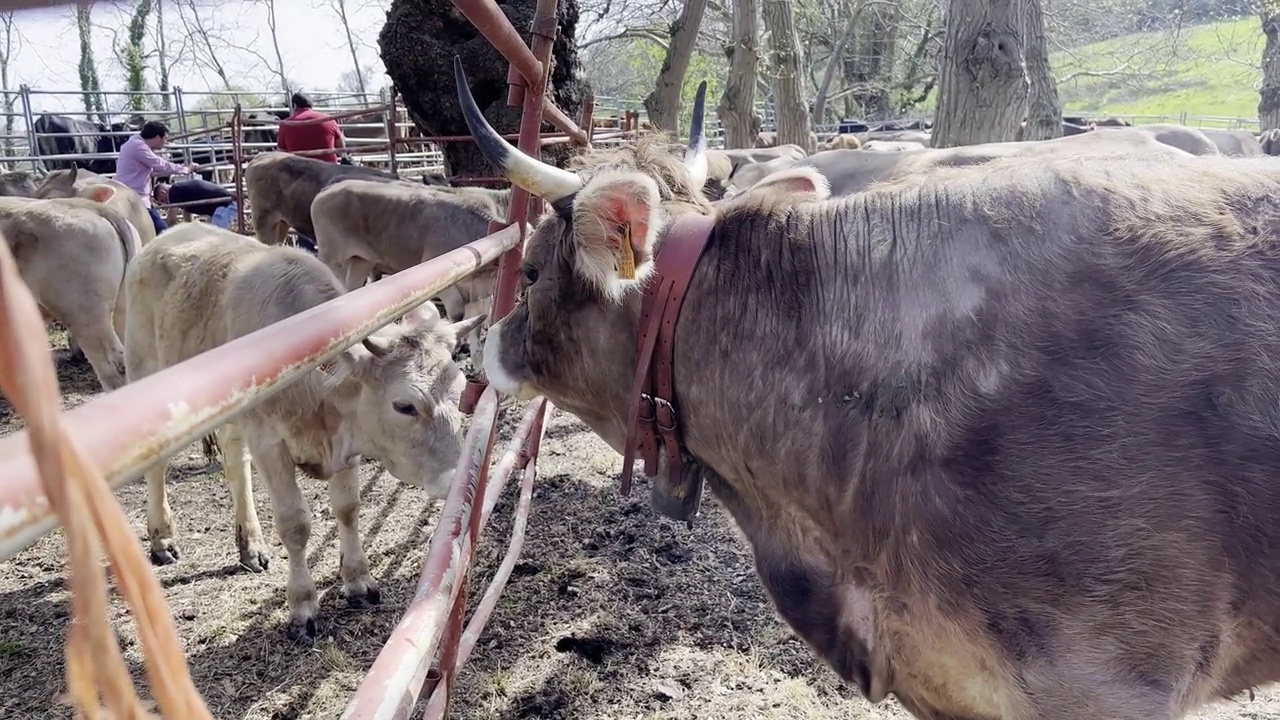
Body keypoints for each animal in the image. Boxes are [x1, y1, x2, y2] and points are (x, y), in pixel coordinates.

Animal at [124, 224, 483, 638]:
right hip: (145, 377)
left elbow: (348, 508)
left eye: (460, 390)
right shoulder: (269, 442)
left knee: (235, 464)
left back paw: (251, 544)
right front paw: (303, 605)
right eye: (404, 406)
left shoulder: (345, 442)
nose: (458, 479)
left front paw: (358, 580)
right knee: (157, 466)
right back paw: (162, 538)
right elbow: (295, 524)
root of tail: (170, 233)